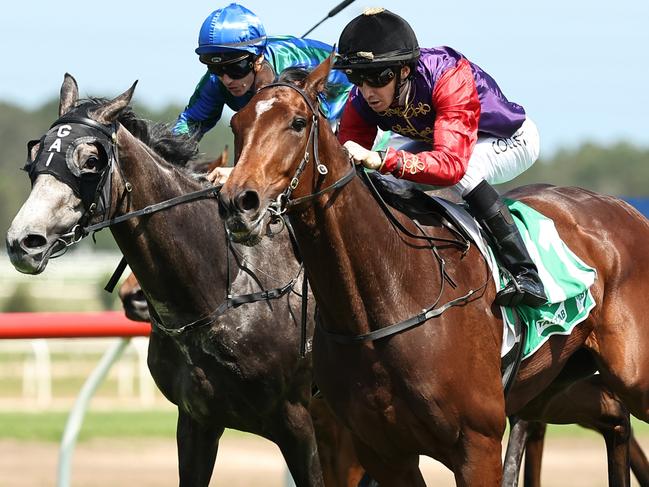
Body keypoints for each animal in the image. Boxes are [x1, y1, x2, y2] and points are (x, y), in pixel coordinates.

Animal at [5, 74, 362, 487]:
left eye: (91, 161)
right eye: (35, 157)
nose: (22, 241)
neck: (226, 291)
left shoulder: (304, 425)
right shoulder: (196, 421)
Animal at [219, 55, 649, 486]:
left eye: (297, 122)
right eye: (237, 122)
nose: (239, 202)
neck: (384, 299)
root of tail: (626, 210)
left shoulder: (478, 445)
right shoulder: (382, 453)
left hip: (631, 376)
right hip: (557, 384)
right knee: (614, 417)